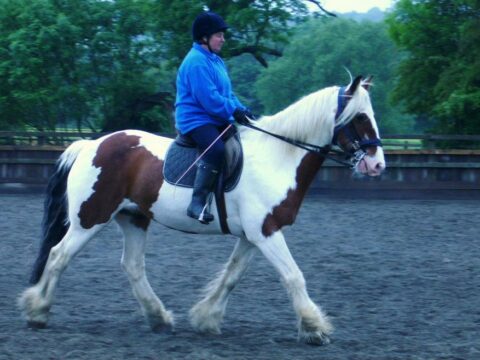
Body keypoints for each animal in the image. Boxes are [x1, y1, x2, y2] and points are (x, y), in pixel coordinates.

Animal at [18, 74, 386, 344]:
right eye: (360, 117)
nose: (378, 164)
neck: (279, 156)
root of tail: (90, 145)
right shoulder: (266, 232)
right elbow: (293, 276)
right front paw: (314, 327)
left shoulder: (253, 236)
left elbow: (232, 276)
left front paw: (206, 319)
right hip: (90, 219)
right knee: (58, 255)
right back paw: (38, 312)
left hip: (133, 217)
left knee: (132, 266)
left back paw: (159, 318)